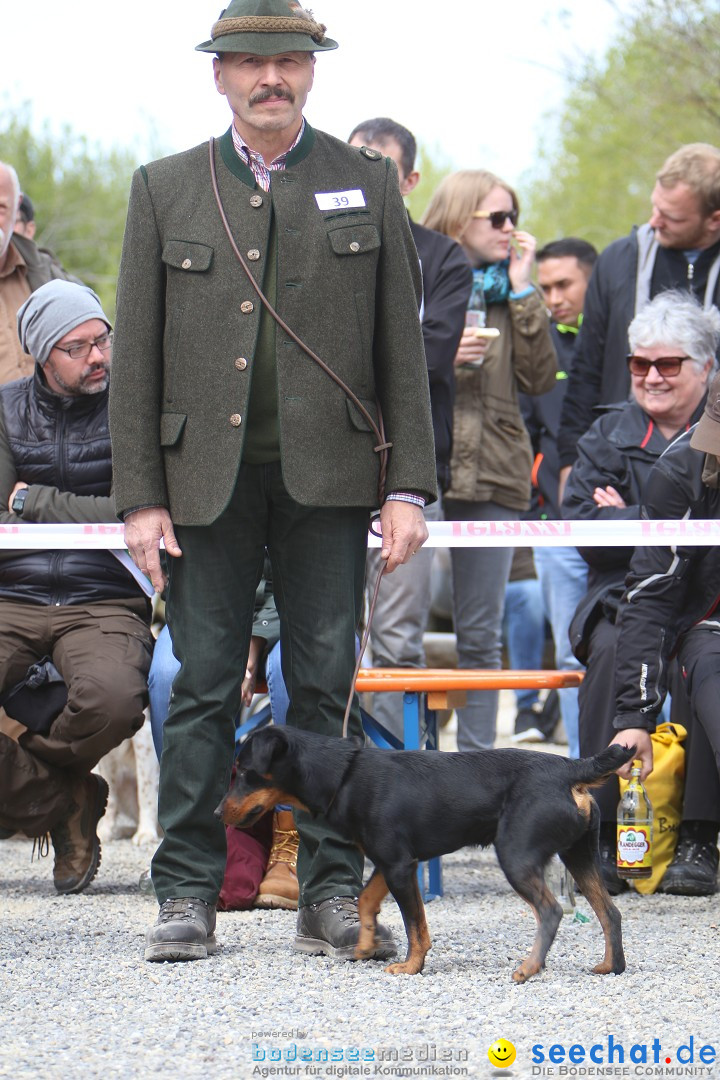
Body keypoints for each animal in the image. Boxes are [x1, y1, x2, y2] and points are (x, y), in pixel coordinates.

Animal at [216, 725, 634, 980]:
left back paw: (529, 968)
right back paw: (612, 966)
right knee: (610, 912)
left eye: (246, 772)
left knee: (549, 911)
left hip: (517, 855)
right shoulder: (389, 862)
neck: (344, 773)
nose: (218, 813)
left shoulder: (400, 866)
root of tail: (571, 769)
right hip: (579, 856)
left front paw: (411, 966)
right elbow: (367, 901)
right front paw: (365, 945)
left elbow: (416, 925)